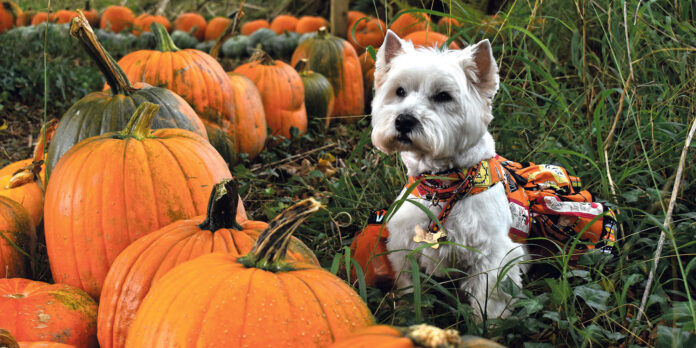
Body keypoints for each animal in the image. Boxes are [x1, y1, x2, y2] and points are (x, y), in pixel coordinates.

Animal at [370, 31, 528, 320]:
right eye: (399, 91)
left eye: (443, 96)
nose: (404, 120)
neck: (442, 187)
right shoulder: (404, 245)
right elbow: (409, 286)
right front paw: (408, 313)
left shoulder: (493, 255)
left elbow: (489, 302)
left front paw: (487, 327)